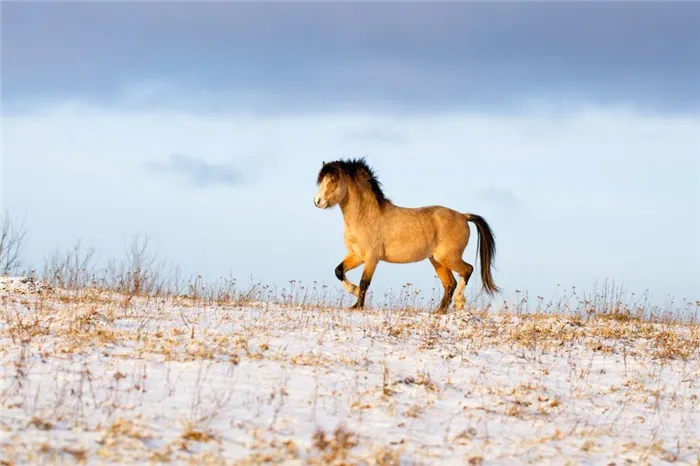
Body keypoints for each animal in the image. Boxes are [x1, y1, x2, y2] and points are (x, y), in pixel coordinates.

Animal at [314, 157, 500, 314]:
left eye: (334, 180)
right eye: (321, 180)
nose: (317, 201)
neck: (366, 216)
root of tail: (463, 216)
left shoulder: (372, 258)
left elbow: (364, 282)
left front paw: (357, 306)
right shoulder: (356, 255)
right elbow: (339, 271)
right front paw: (354, 292)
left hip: (448, 257)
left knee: (467, 270)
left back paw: (459, 302)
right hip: (437, 261)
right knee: (450, 283)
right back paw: (439, 311)